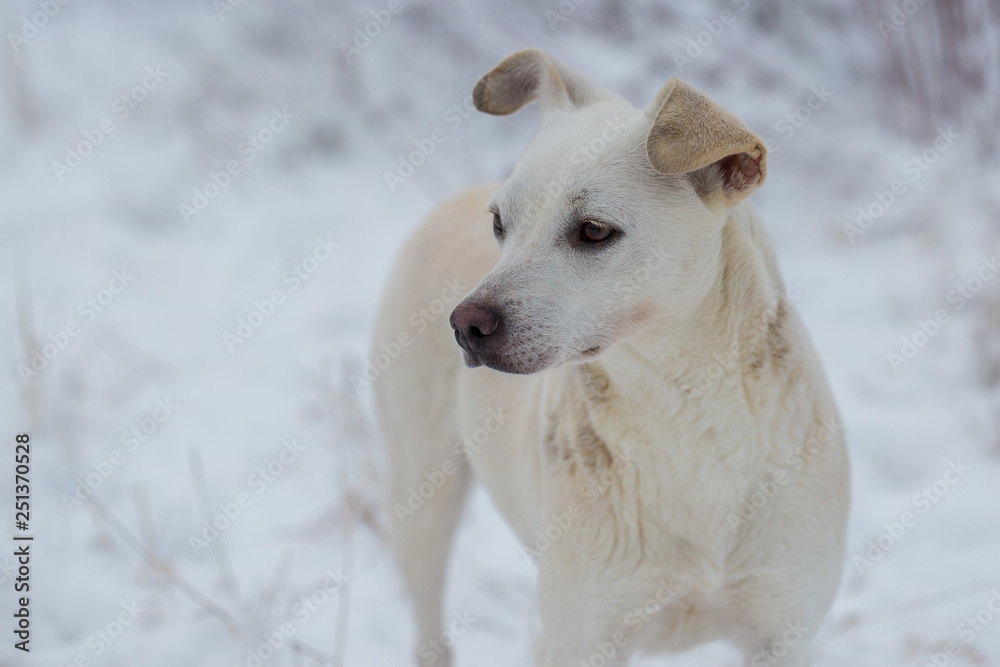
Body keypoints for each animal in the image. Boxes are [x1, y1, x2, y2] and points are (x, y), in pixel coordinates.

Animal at [372, 49, 848, 664]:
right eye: (500, 224)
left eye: (594, 230)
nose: (464, 326)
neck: (685, 411)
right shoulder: (580, 637)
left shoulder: (783, 633)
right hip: (422, 497)